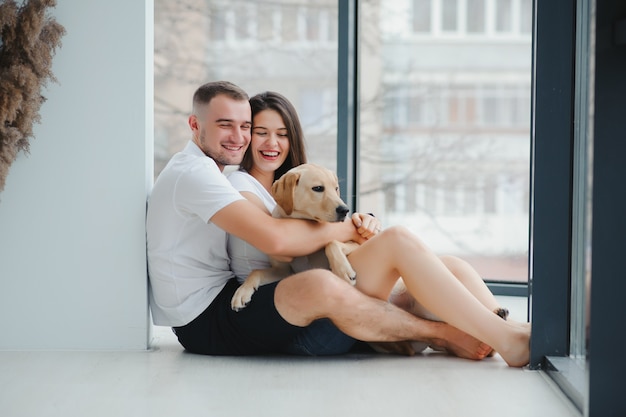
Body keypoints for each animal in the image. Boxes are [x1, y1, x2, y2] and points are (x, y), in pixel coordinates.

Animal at [229, 164, 356, 310]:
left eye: (336, 188)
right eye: (318, 188)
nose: (345, 210)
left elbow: (331, 244)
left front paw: (343, 271)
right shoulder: (282, 271)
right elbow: (256, 271)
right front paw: (242, 291)